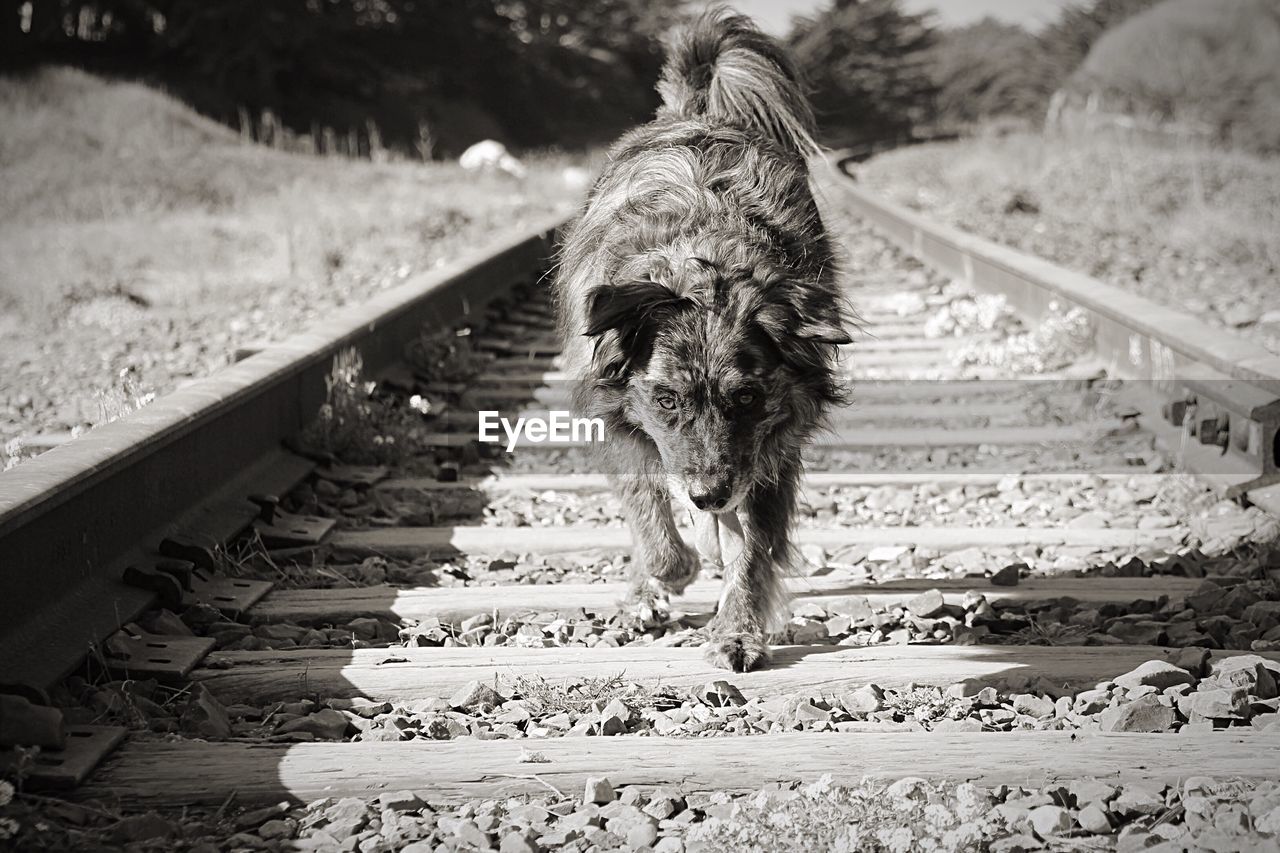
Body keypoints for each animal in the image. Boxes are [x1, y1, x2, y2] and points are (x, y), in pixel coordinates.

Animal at [552, 8, 844, 671]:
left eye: (747, 397)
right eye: (665, 399)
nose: (710, 495)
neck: (701, 256)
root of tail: (695, 110)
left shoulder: (773, 447)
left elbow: (754, 548)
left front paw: (737, 630)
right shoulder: (616, 417)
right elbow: (651, 520)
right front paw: (666, 575)